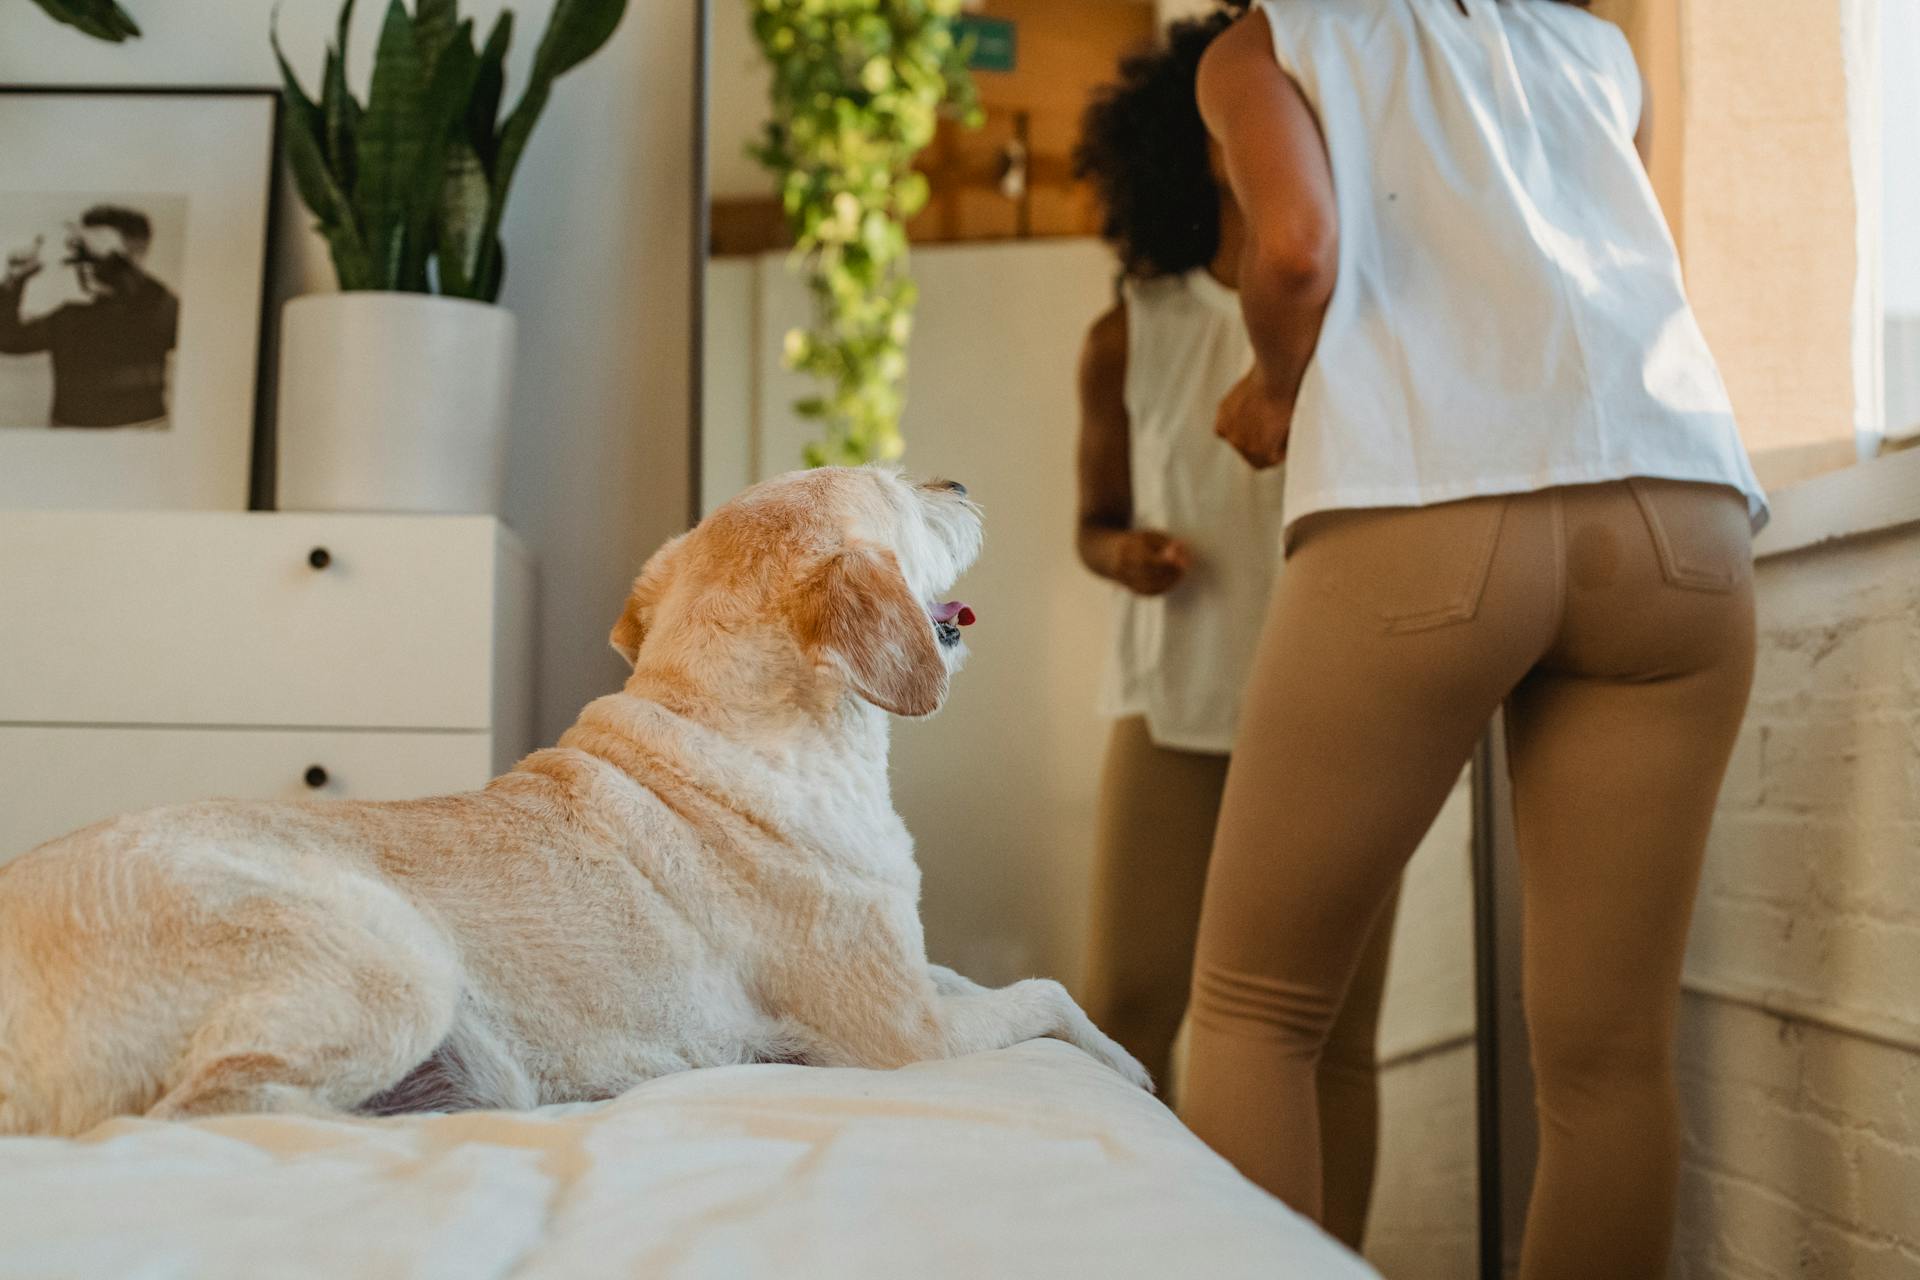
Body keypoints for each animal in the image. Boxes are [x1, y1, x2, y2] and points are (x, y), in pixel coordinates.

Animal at [0, 466, 1136, 1136]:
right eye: (905, 495)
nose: (960, 479)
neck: (739, 727)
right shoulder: (908, 1037)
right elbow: (1045, 997)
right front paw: (1127, 1065)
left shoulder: (913, 973)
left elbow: (991, 978)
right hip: (390, 959)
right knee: (196, 1113)